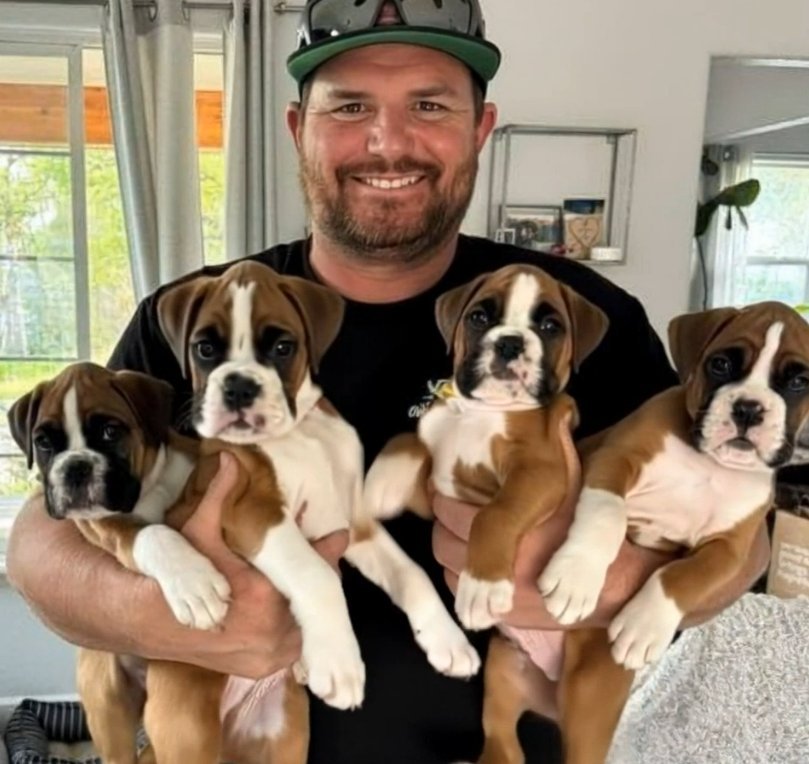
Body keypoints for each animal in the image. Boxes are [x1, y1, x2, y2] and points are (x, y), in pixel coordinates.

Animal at [7, 362, 229, 764]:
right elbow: (153, 534)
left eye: (111, 432)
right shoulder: (105, 525)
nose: (75, 467)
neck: (151, 485)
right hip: (108, 707)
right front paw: (194, 585)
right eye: (44, 442)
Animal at [147, 260, 480, 763]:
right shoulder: (254, 511)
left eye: (282, 347)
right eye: (205, 349)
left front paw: (447, 639)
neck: (299, 431)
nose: (239, 386)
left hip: (286, 737)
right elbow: (316, 574)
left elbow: (413, 574)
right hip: (186, 731)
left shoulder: (355, 523)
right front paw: (339, 661)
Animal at [362, 263, 609, 763]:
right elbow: (407, 439)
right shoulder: (440, 487)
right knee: (504, 745)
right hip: (501, 674)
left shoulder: (541, 470)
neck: (483, 412)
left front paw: (481, 587)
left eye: (549, 326)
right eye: (479, 317)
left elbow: (495, 515)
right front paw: (381, 482)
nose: (510, 342)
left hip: (589, 696)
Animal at [536, 301, 809, 764]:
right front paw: (576, 578)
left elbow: (682, 577)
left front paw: (644, 625)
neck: (710, 465)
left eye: (797, 382)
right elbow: (607, 515)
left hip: (592, 690)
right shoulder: (613, 460)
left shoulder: (730, 550)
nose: (749, 408)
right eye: (720, 364)